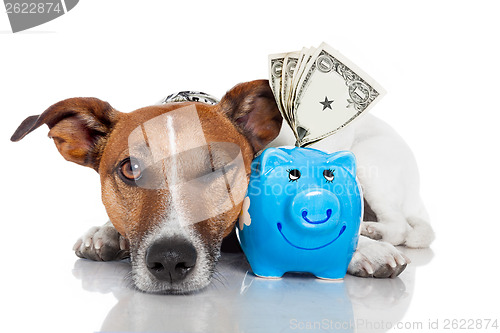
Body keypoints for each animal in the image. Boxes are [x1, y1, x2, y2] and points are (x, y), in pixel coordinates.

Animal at [10, 79, 434, 292]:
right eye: (130, 169)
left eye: (218, 166)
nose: (169, 260)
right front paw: (105, 233)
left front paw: (363, 250)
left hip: (372, 164)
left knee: (399, 225)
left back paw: (373, 231)